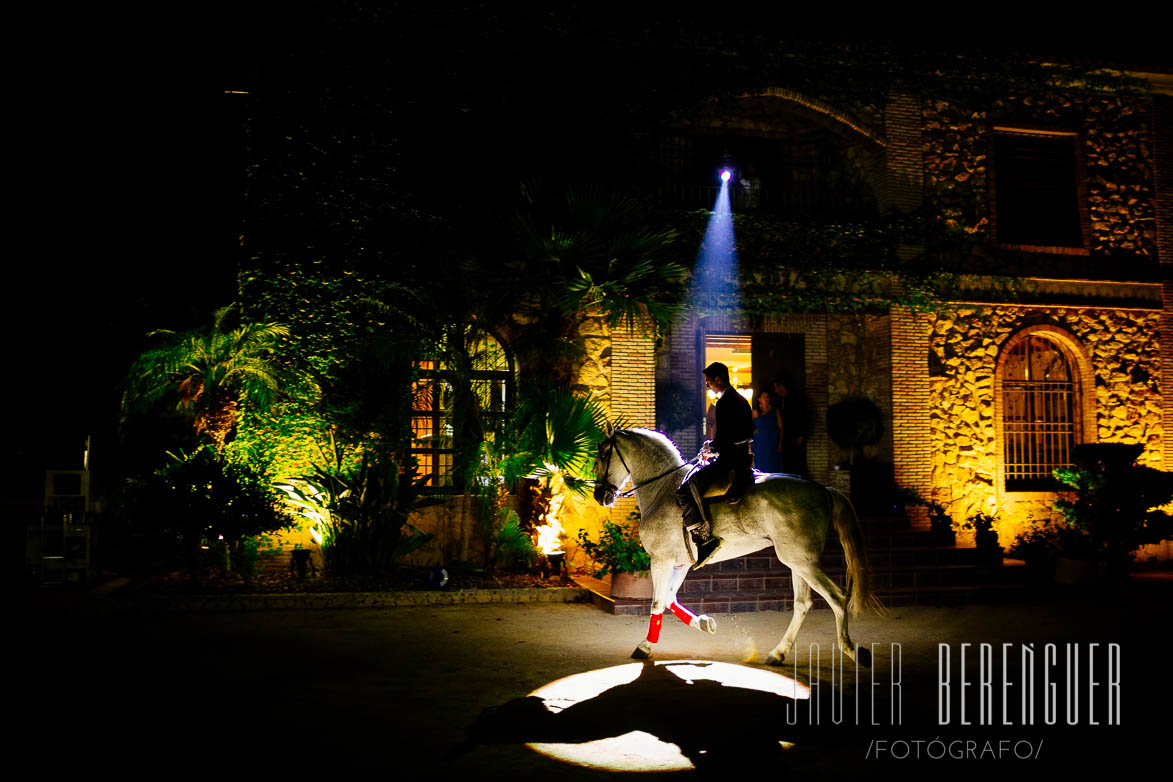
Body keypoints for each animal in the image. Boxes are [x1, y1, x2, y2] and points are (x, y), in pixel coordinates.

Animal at [595, 429, 882, 665]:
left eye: (602, 454)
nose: (600, 496)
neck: (663, 489)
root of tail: (822, 489)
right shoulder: (681, 563)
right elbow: (668, 599)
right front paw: (704, 624)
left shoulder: (661, 561)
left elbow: (657, 602)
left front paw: (645, 646)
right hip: (798, 561)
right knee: (803, 604)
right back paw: (778, 653)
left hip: (802, 562)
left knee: (837, 597)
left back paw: (853, 650)